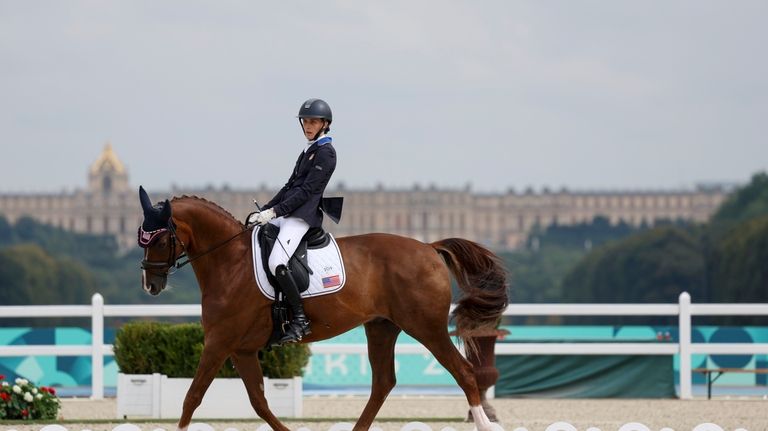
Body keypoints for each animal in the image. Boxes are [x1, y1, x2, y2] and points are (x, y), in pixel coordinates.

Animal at [138, 188, 510, 431]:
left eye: (159, 239)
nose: (150, 285)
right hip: (381, 326)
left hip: (426, 327)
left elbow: (192, 397)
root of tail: (429, 247)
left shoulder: (219, 342)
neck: (230, 262)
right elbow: (259, 402)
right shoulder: (241, 349)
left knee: (464, 373)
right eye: (142, 237)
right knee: (383, 383)